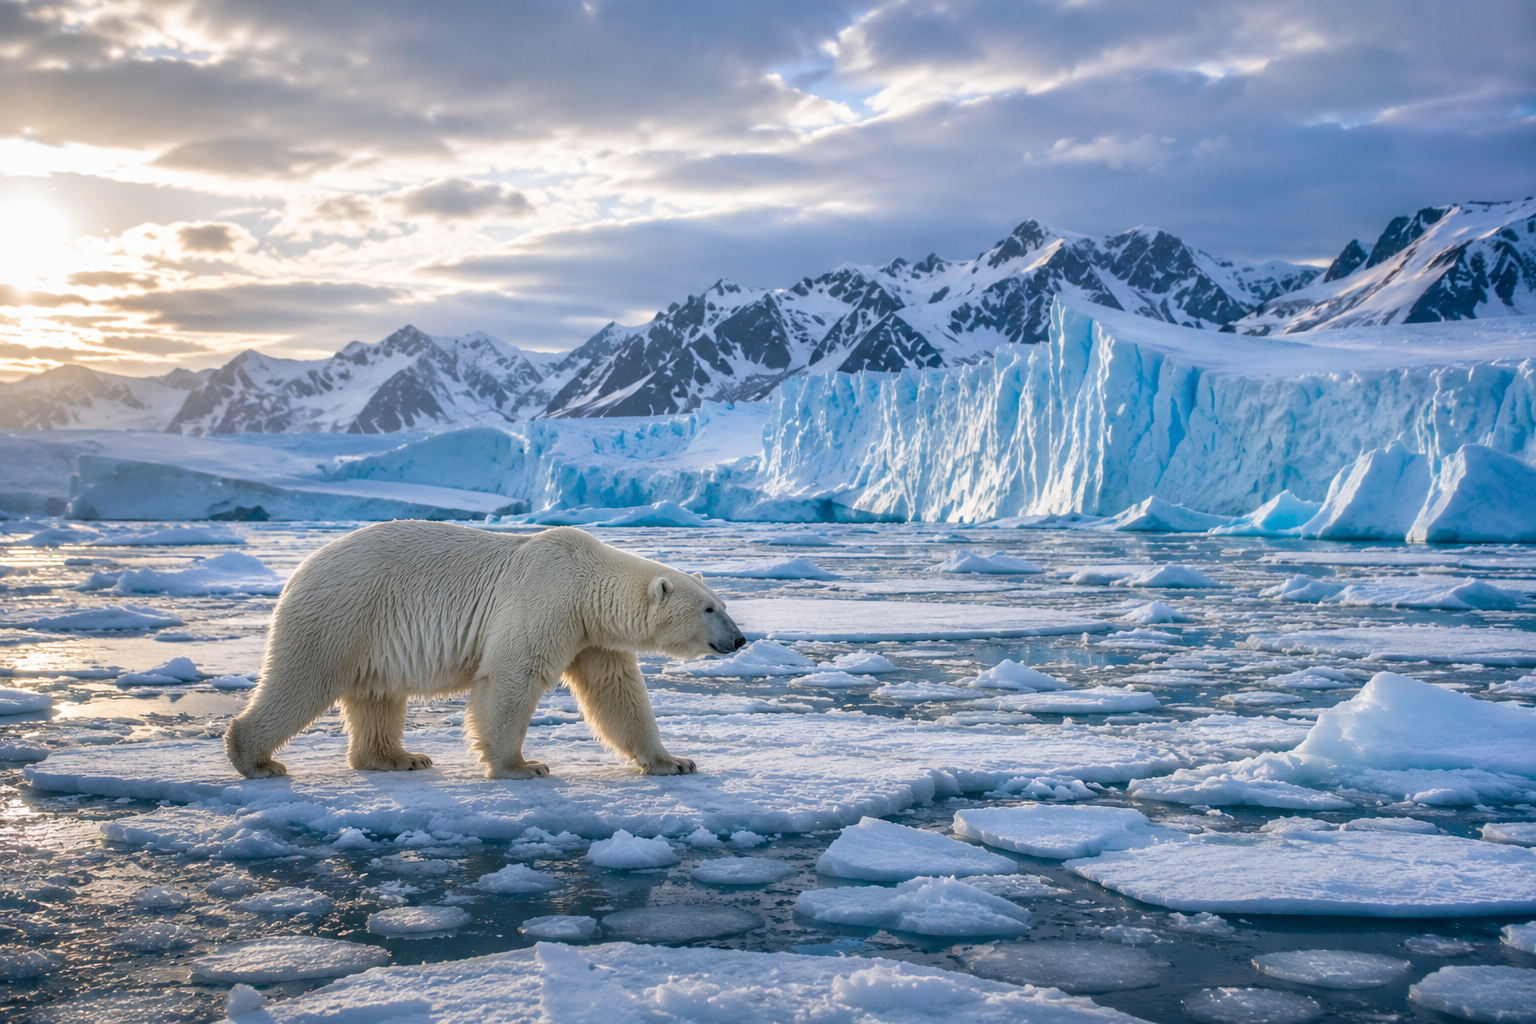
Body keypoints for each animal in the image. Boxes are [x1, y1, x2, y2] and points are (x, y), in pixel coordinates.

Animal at [224, 521, 746, 780]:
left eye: (723, 603)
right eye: (708, 609)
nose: (740, 639)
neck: (586, 579)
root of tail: (300, 569)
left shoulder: (591, 636)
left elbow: (617, 692)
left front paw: (674, 762)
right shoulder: (546, 598)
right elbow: (512, 676)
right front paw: (522, 766)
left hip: (370, 632)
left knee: (377, 694)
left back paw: (399, 757)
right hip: (343, 612)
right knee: (303, 679)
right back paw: (256, 760)